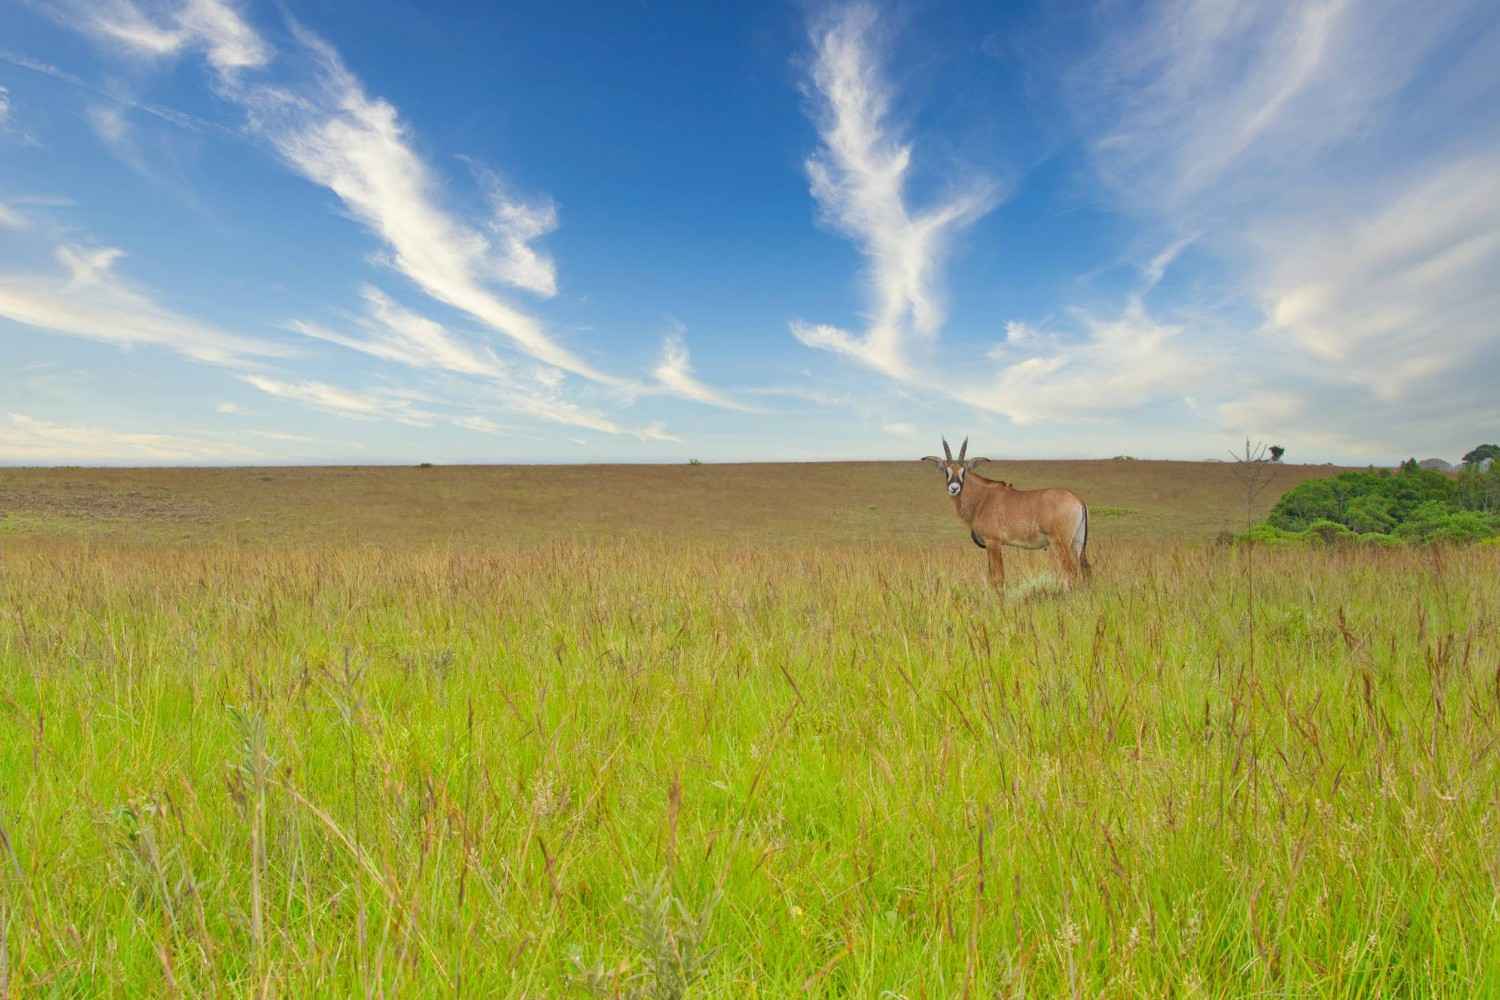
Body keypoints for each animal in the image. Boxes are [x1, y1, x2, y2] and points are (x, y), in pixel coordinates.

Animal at [921, 436, 1091, 590]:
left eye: (964, 471)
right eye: (946, 471)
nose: (954, 488)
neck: (981, 498)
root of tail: (1078, 500)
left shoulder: (993, 542)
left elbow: (998, 578)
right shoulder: (989, 546)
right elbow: (992, 578)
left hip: (1060, 543)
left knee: (1070, 572)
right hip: (1077, 544)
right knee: (1084, 571)